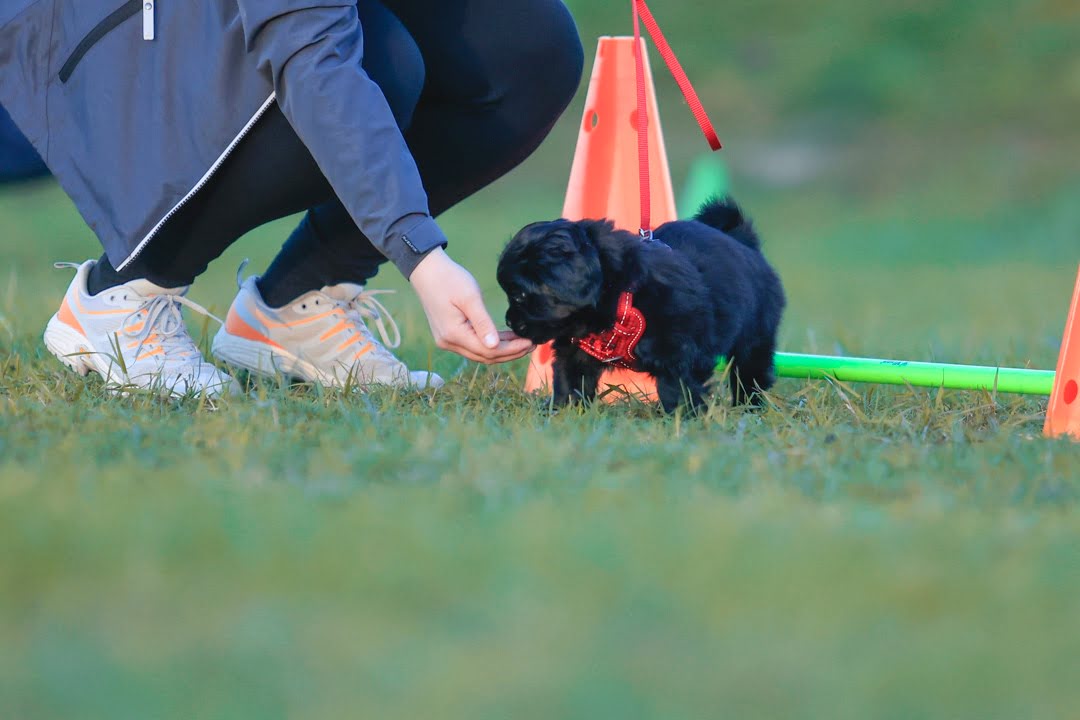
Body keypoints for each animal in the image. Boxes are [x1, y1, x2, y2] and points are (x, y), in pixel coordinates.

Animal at [496, 195, 786, 410]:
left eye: (519, 295)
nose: (509, 321)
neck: (621, 296)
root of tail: (745, 243)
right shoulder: (574, 351)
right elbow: (569, 380)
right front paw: (563, 413)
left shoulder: (681, 354)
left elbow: (677, 389)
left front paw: (681, 420)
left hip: (756, 338)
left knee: (750, 375)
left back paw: (748, 409)